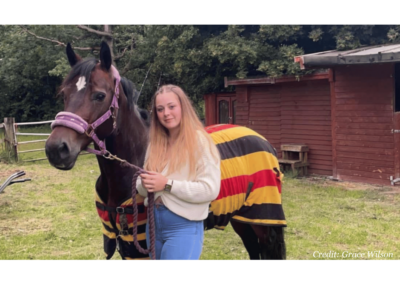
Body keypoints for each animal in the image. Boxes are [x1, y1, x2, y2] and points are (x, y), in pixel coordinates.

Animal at [45, 41, 286, 260]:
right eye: (64, 94)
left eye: (100, 95)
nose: (56, 149)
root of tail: (263, 141)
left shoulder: (139, 248)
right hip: (241, 220)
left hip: (263, 222)